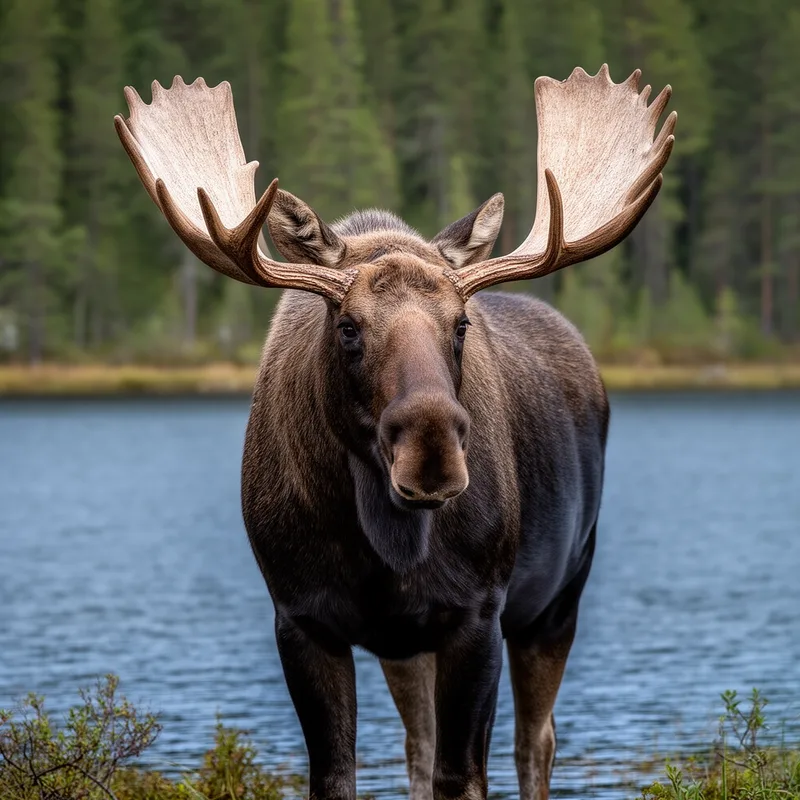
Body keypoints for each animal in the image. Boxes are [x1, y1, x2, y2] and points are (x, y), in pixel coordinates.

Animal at [114, 64, 675, 800]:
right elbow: (340, 773)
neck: (385, 541)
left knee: (535, 742)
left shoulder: (478, 613)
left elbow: (462, 775)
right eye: (348, 326)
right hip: (413, 644)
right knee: (420, 741)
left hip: (558, 597)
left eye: (461, 324)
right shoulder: (302, 618)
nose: (430, 452)